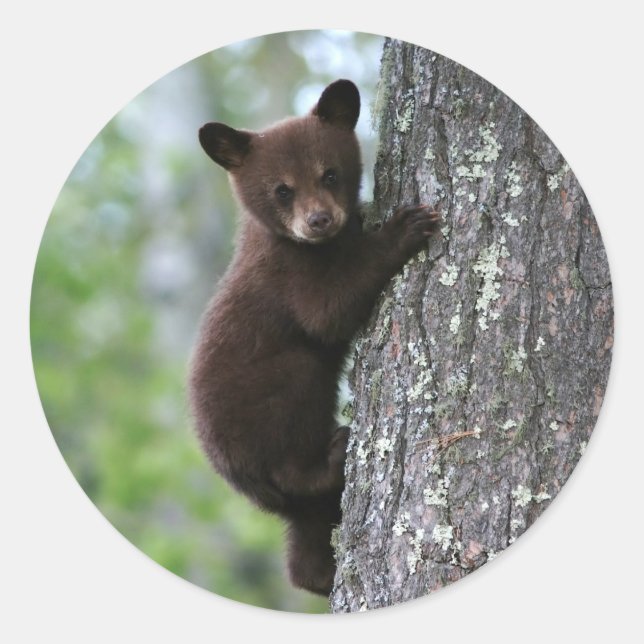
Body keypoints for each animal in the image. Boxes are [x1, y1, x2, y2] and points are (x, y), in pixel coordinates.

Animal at [189, 79, 440, 596]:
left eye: (330, 174)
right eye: (282, 190)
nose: (319, 220)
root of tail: (243, 482)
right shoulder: (289, 276)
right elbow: (329, 312)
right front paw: (404, 227)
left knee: (306, 538)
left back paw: (319, 575)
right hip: (274, 399)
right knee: (296, 441)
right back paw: (335, 452)